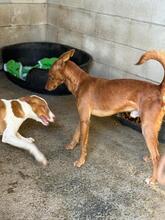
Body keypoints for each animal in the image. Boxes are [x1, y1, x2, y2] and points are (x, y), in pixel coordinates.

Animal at [45, 49, 165, 184]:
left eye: (50, 75)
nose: (45, 88)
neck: (80, 82)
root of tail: (158, 88)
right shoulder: (83, 118)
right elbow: (76, 134)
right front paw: (71, 145)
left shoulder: (85, 120)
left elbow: (83, 144)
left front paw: (81, 161)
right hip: (153, 128)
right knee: (156, 146)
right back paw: (149, 158)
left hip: (146, 128)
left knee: (157, 156)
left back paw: (153, 179)